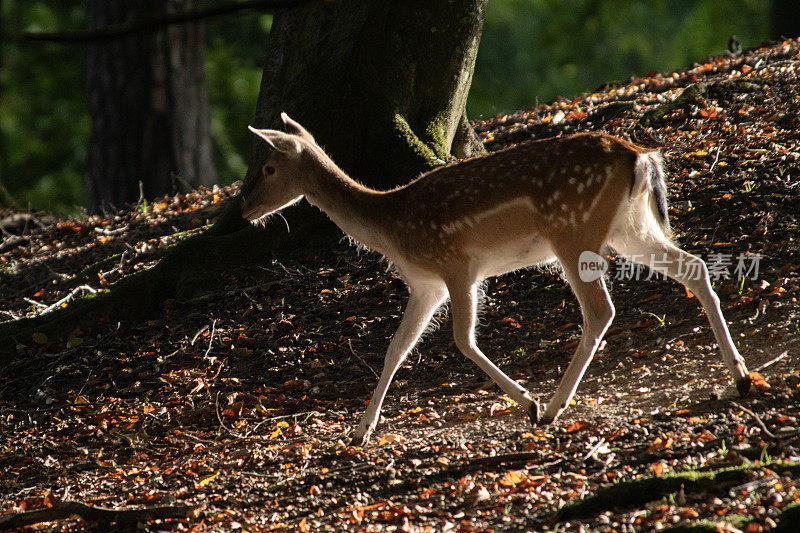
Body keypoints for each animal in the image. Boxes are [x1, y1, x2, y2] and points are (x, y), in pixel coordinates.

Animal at [242, 114, 752, 446]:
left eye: (268, 167)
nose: (244, 211)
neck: (392, 228)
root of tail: (640, 157)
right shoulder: (425, 285)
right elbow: (395, 349)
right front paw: (360, 431)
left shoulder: (456, 265)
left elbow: (462, 339)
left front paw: (527, 402)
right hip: (630, 227)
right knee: (695, 267)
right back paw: (741, 376)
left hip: (573, 230)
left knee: (600, 309)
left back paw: (552, 407)